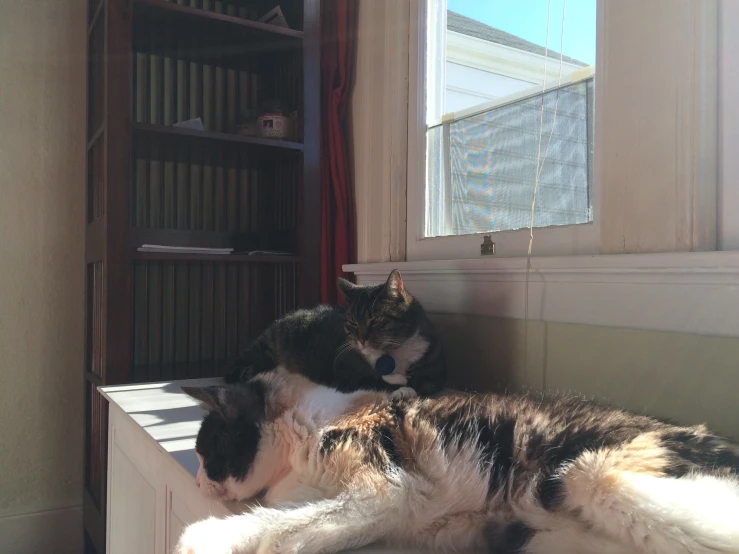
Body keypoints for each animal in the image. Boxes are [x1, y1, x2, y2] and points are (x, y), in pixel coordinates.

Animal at [178, 366, 739, 552]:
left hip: (594, 473)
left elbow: (286, 532)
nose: (199, 485)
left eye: (206, 452)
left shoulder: (387, 490)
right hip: (547, 542)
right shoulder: (328, 498)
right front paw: (205, 537)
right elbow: (274, 518)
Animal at [223, 268, 446, 394]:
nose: (361, 339)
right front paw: (402, 389)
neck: (390, 355)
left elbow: (427, 381)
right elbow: (373, 381)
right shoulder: (344, 374)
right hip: (269, 347)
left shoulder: (433, 366)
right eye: (353, 323)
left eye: (375, 320)